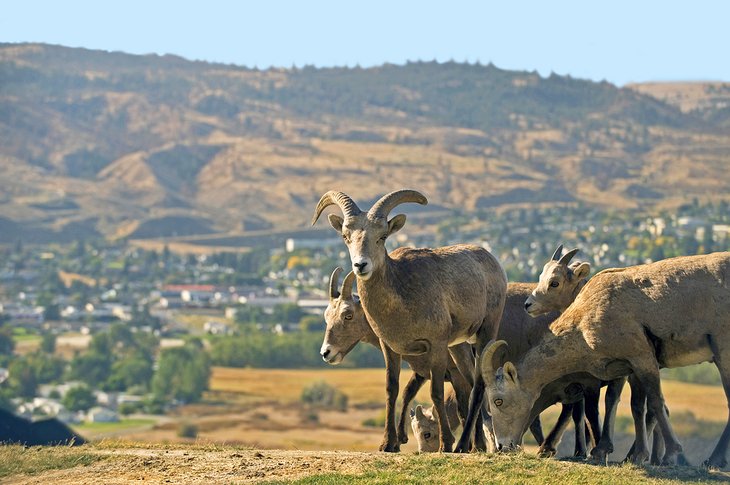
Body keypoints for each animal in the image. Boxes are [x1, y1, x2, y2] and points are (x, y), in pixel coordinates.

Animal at [318, 266, 472, 448]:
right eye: (326, 316)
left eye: (348, 315)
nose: (326, 352)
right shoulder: (421, 372)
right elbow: (404, 393)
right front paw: (396, 441)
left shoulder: (455, 374)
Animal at [478, 250, 728, 466]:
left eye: (498, 400)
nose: (502, 446)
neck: (585, 322)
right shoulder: (625, 370)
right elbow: (630, 407)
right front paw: (629, 455)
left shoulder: (641, 360)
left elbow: (653, 403)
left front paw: (667, 454)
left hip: (723, 354)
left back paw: (711, 461)